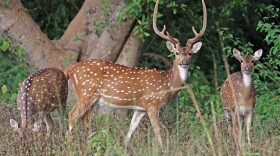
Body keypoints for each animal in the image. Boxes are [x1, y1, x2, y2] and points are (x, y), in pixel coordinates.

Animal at [64, 0, 207, 149]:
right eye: (176, 53)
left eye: (190, 53)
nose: (184, 62)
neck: (167, 84)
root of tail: (72, 68)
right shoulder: (152, 103)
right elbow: (157, 129)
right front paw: (162, 149)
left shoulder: (141, 108)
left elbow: (131, 128)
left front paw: (124, 147)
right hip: (86, 92)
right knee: (72, 114)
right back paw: (69, 145)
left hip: (94, 99)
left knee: (85, 119)